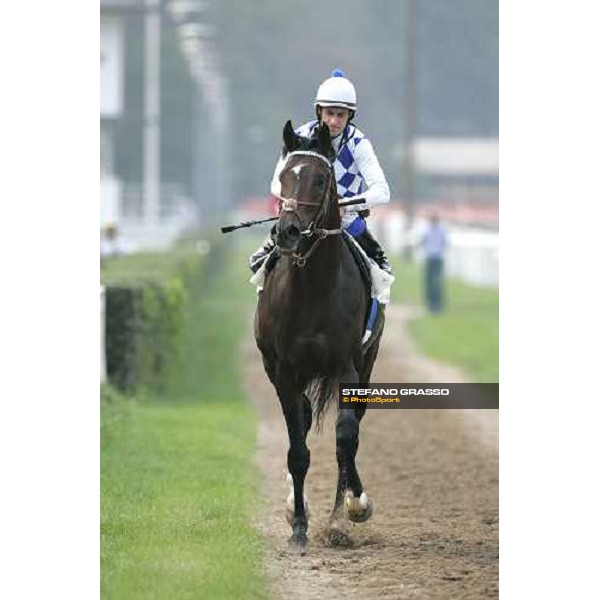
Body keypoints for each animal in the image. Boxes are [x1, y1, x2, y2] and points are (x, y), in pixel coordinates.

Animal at [253, 119, 384, 552]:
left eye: (321, 179)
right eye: (284, 176)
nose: (288, 231)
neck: (312, 286)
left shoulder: (345, 368)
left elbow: (346, 438)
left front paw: (347, 513)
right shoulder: (284, 372)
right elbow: (297, 448)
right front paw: (298, 525)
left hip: (367, 365)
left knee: (352, 428)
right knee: (307, 420)